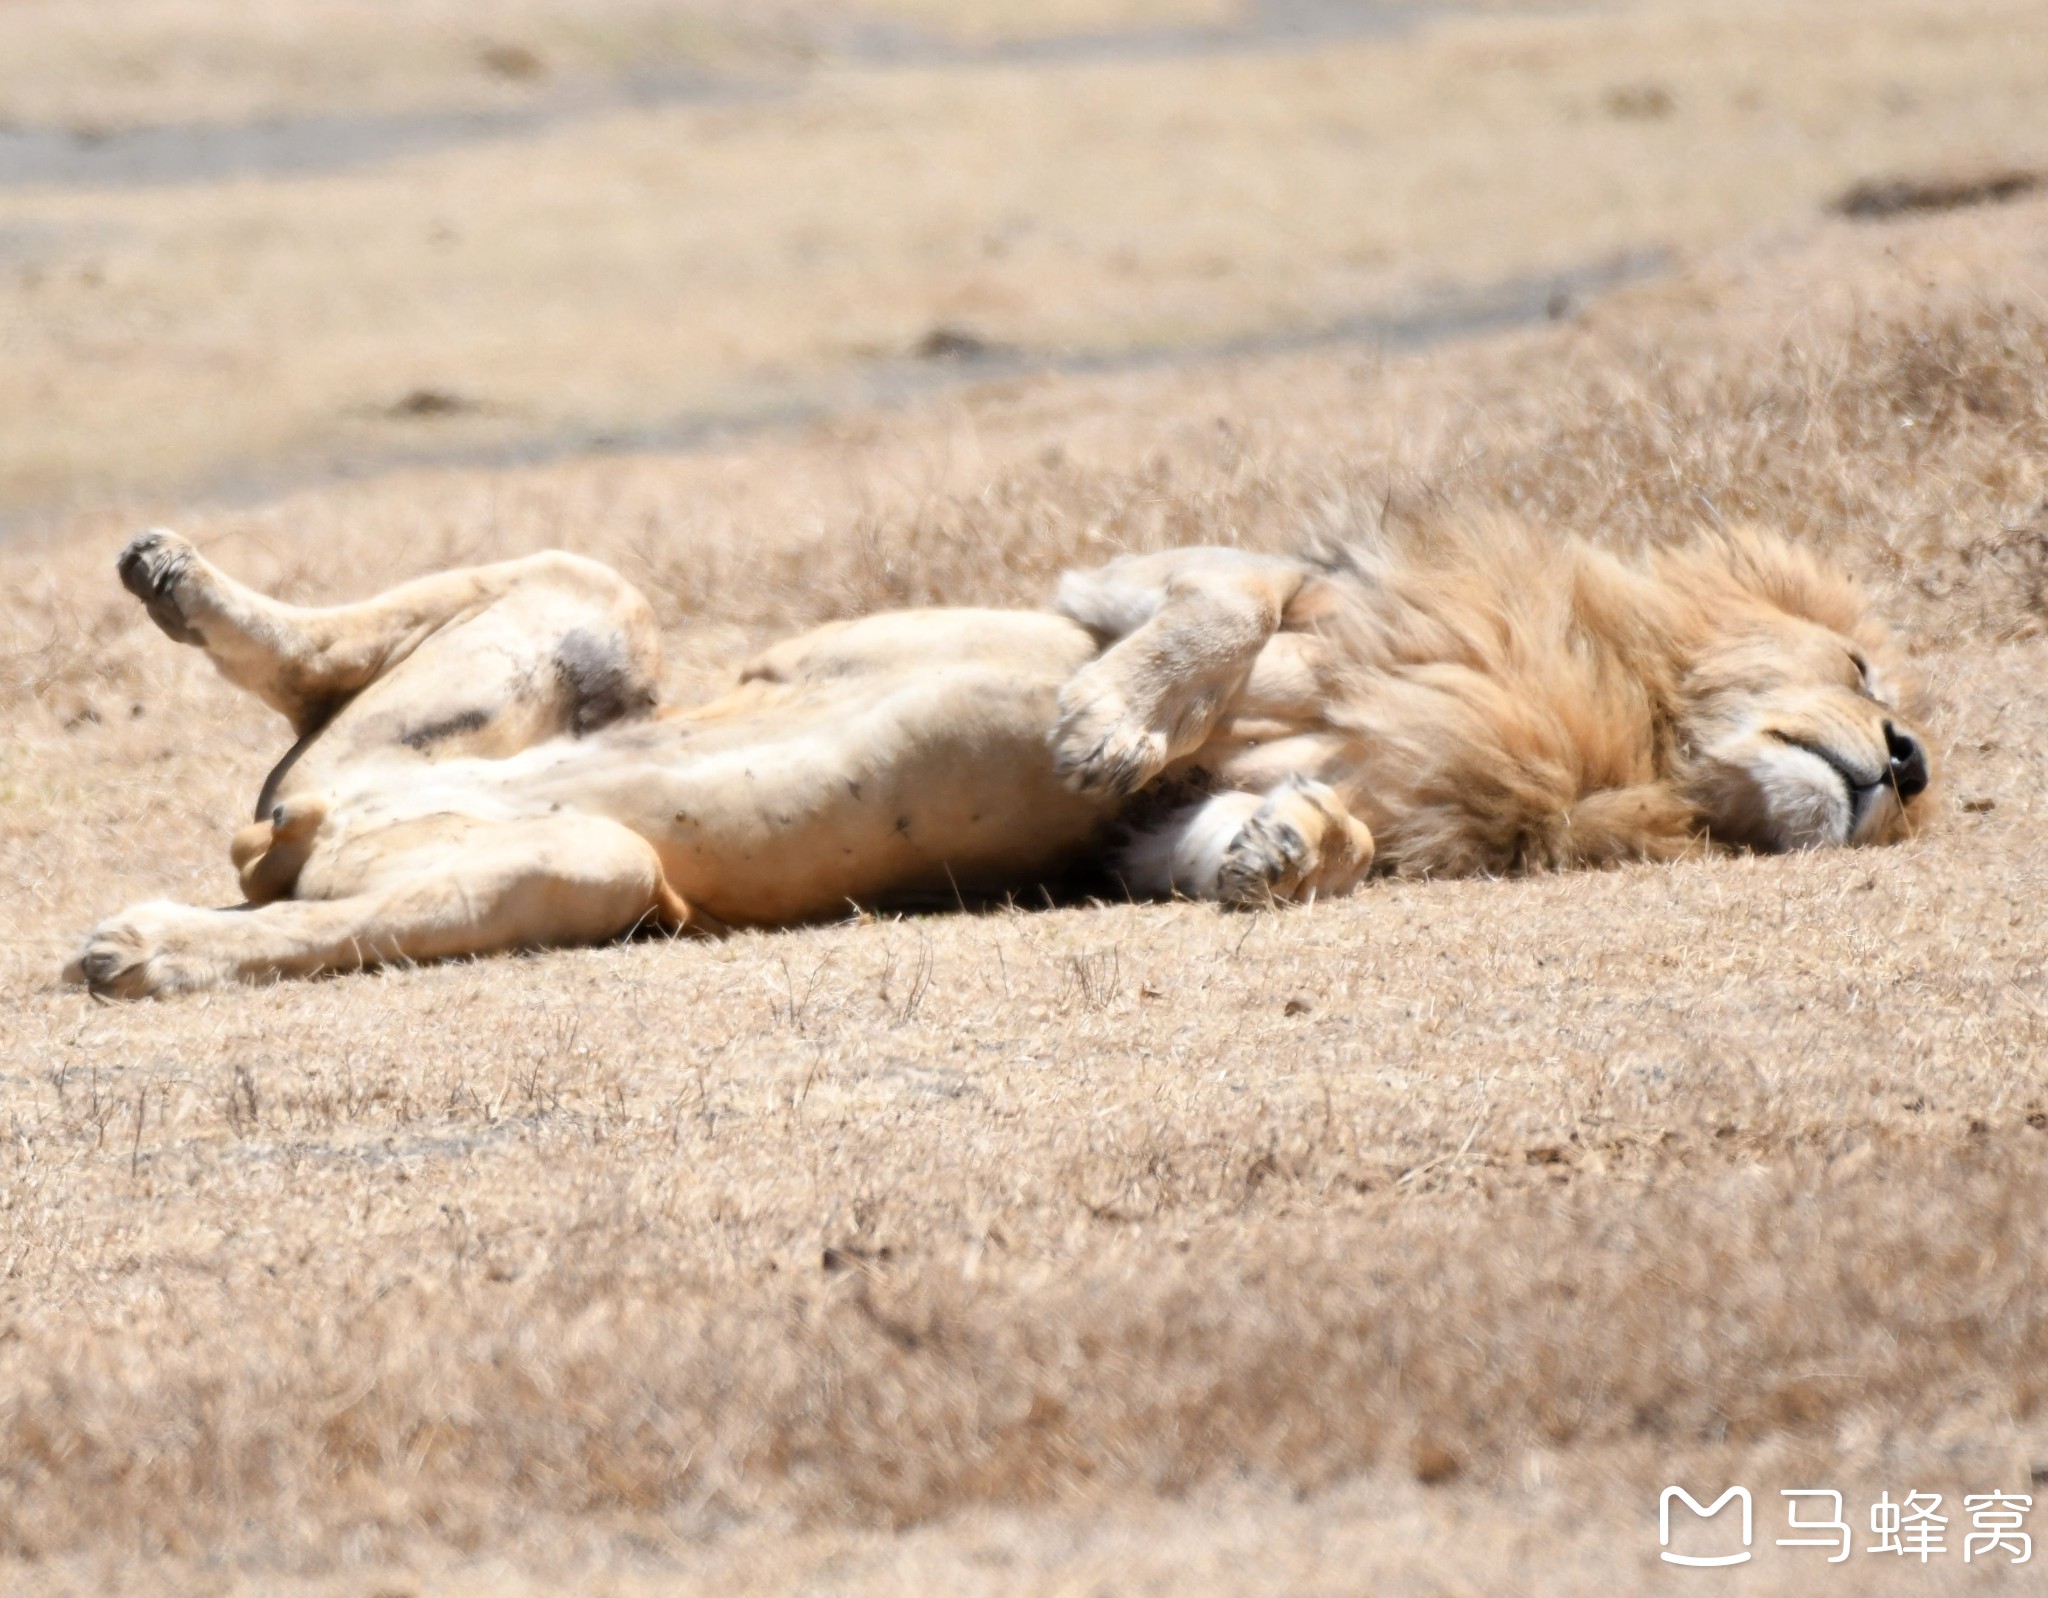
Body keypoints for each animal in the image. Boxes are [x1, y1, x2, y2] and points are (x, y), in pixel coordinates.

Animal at [59, 512, 1916, 991]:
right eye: (1862, 662)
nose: (1902, 765)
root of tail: (309, 822)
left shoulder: (1145, 843)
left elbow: (1241, 835)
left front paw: (1283, 853)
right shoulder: (1141, 589)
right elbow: (1219, 604)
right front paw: (1100, 720)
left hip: (579, 861)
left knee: (295, 895)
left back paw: (145, 939)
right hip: (588, 633)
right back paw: (171, 585)